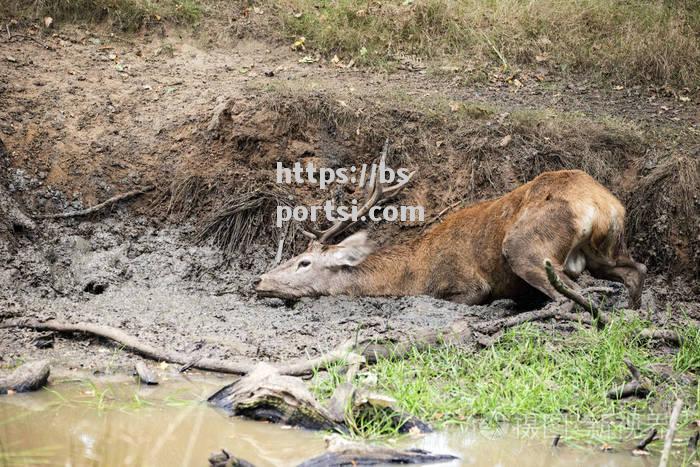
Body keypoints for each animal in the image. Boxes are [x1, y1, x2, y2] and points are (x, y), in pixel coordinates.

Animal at [254, 143, 648, 310]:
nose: (259, 279)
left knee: (571, 290)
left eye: (303, 262)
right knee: (636, 270)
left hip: (525, 246)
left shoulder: (465, 283)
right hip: (605, 250)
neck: (413, 271)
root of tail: (601, 204)